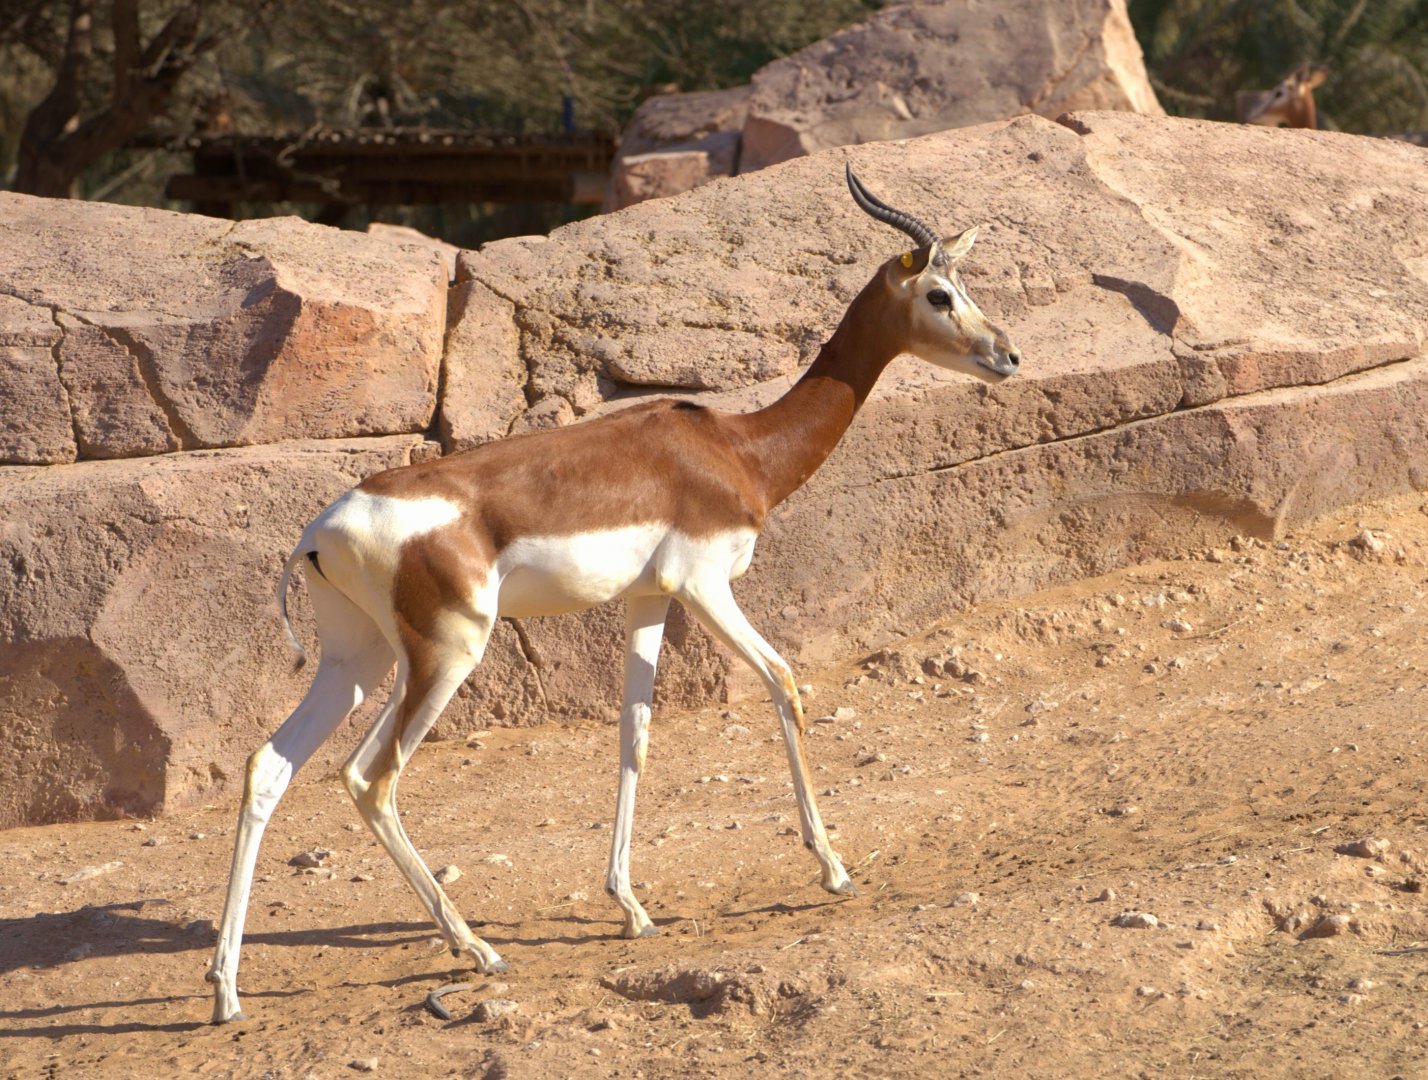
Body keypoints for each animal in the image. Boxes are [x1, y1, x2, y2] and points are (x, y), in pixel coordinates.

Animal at [206, 164, 1022, 1024]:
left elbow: (634, 733)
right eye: (940, 293)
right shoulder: (705, 585)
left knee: (268, 766)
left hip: (356, 659)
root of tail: (320, 530)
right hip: (446, 654)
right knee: (371, 777)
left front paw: (631, 906)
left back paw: (226, 990)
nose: (1007, 354)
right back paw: (478, 950)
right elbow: (785, 683)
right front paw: (831, 867)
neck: (738, 450)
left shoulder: (649, 599)